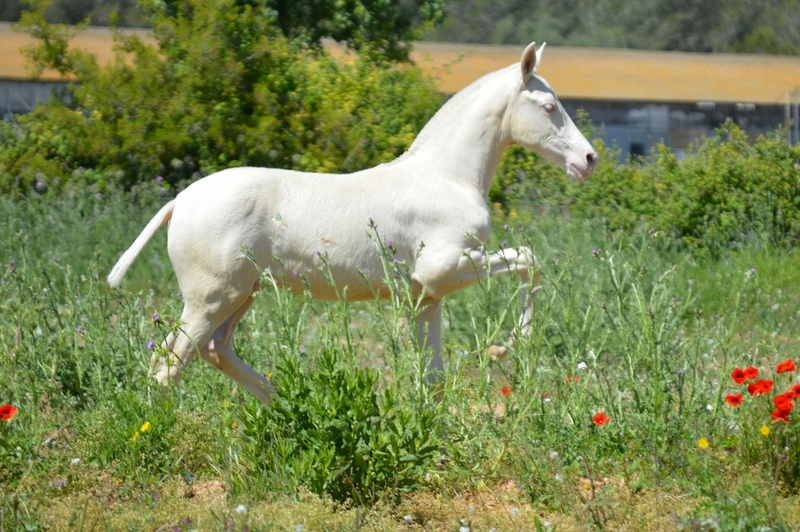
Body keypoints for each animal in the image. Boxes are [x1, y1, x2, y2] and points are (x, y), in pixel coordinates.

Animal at [108, 42, 597, 405]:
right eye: (549, 105)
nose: (588, 159)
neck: (447, 177)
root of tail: (180, 201)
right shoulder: (444, 269)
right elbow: (530, 259)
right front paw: (504, 346)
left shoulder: (426, 296)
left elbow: (433, 376)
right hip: (210, 299)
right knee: (169, 367)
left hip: (242, 294)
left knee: (216, 350)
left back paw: (289, 408)